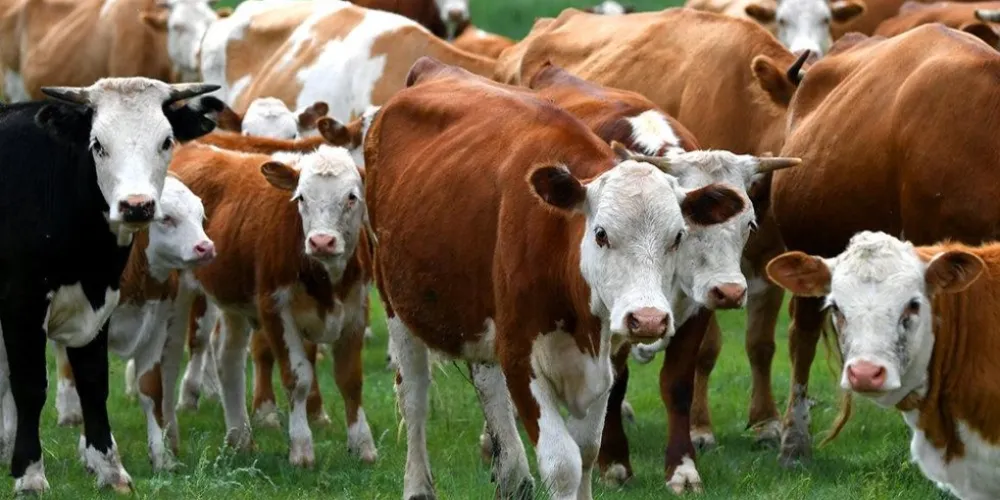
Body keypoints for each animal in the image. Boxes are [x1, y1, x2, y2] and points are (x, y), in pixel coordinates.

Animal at [48, 175, 215, 470]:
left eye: (200, 215)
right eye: (166, 218)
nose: (205, 247)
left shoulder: (157, 328)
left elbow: (151, 389)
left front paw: (161, 456)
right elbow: (92, 388)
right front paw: (95, 456)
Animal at [168, 143, 378, 468]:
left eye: (352, 197)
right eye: (301, 197)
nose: (321, 241)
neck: (326, 279)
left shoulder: (356, 310)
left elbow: (351, 379)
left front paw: (363, 445)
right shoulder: (274, 309)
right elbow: (298, 377)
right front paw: (301, 448)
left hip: (233, 303)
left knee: (228, 358)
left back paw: (240, 437)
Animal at [368, 56, 746, 500]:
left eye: (678, 236)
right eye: (600, 233)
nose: (648, 319)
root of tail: (433, 67)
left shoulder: (601, 357)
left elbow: (587, 449)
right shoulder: (519, 355)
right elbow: (563, 463)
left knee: (487, 384)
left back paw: (513, 476)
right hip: (396, 303)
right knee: (414, 395)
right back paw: (419, 486)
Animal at [495, 5, 811, 478]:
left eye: (749, 225)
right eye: (687, 231)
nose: (729, 291)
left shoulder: (709, 301)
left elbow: (684, 378)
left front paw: (684, 463)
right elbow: (617, 379)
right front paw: (615, 461)